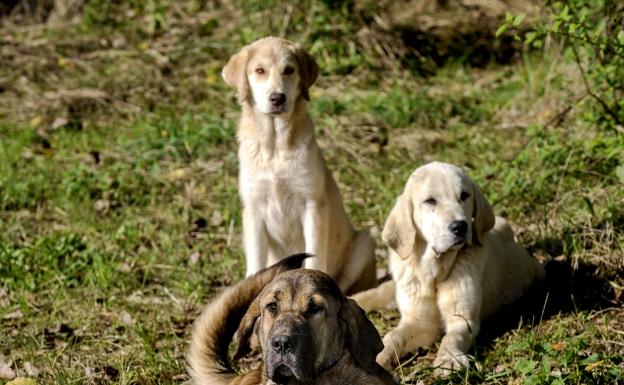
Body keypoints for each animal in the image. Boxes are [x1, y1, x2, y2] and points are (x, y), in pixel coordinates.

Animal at [223, 37, 376, 292]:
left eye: (289, 70)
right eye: (260, 71)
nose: (277, 98)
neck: (275, 148)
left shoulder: (313, 205)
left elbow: (315, 258)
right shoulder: (253, 210)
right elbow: (255, 264)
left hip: (364, 242)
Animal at [354, 161, 544, 376]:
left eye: (464, 195)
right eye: (430, 201)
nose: (460, 227)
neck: (435, 272)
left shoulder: (462, 319)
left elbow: (451, 337)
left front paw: (448, 359)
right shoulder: (418, 321)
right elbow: (394, 336)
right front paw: (378, 356)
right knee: (379, 291)